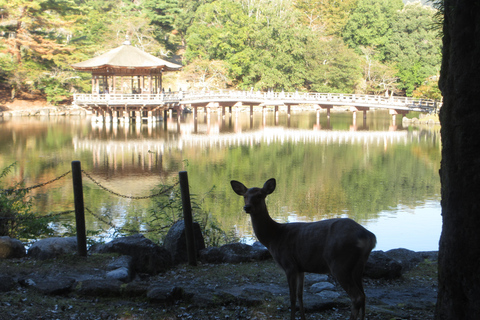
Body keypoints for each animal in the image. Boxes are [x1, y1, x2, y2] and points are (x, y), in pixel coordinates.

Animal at [231, 179, 376, 318]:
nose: (247, 207)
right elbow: (300, 295)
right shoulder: (300, 267)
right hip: (358, 266)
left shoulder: (289, 264)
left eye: (260, 195)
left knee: (357, 297)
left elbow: (292, 297)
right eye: (245, 196)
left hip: (340, 263)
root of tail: (370, 237)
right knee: (364, 296)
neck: (274, 237)